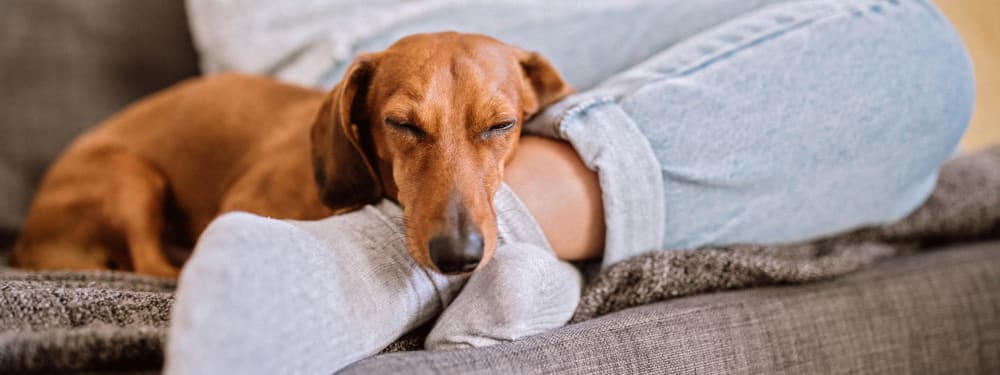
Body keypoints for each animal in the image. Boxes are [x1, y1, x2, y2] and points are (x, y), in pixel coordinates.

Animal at [9, 32, 572, 278]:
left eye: (502, 126)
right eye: (401, 125)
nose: (459, 256)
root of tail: (27, 242)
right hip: (129, 177)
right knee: (151, 265)